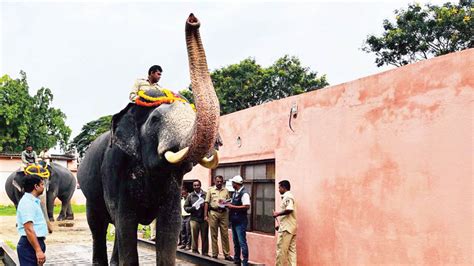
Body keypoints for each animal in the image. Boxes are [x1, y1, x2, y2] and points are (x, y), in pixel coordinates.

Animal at [78, 13, 222, 264]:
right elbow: (125, 222)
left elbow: (170, 225)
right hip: (90, 190)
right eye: (155, 119)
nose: (193, 19)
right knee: (98, 226)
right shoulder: (114, 167)